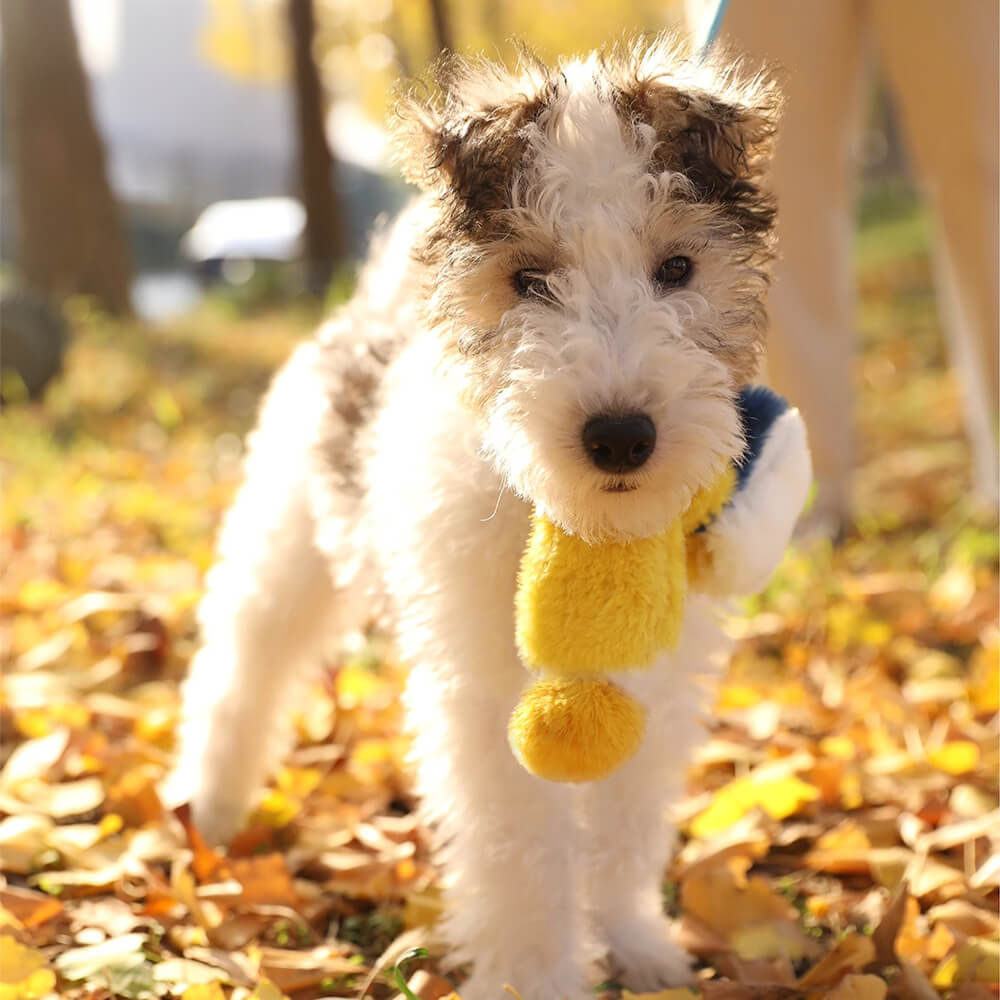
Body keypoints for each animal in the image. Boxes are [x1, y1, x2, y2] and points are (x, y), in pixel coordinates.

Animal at [170, 35, 812, 1000]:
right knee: (239, 677)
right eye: (529, 279)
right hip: (282, 545)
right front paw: (538, 974)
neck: (585, 534)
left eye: (677, 268)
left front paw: (633, 943)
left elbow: (622, 827)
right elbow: (523, 854)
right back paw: (209, 809)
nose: (620, 437)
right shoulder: (482, 690)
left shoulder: (658, 683)